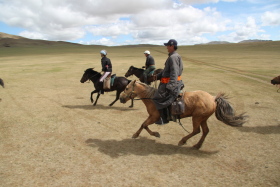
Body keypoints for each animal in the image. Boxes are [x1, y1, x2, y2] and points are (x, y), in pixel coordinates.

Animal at [119, 80, 248, 149]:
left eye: (126, 88)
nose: (120, 98)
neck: (152, 98)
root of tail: (213, 98)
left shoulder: (155, 117)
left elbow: (144, 125)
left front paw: (153, 134)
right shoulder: (152, 117)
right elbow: (143, 125)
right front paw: (138, 134)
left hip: (197, 118)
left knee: (196, 130)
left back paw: (182, 141)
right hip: (203, 118)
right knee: (205, 131)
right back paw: (197, 145)